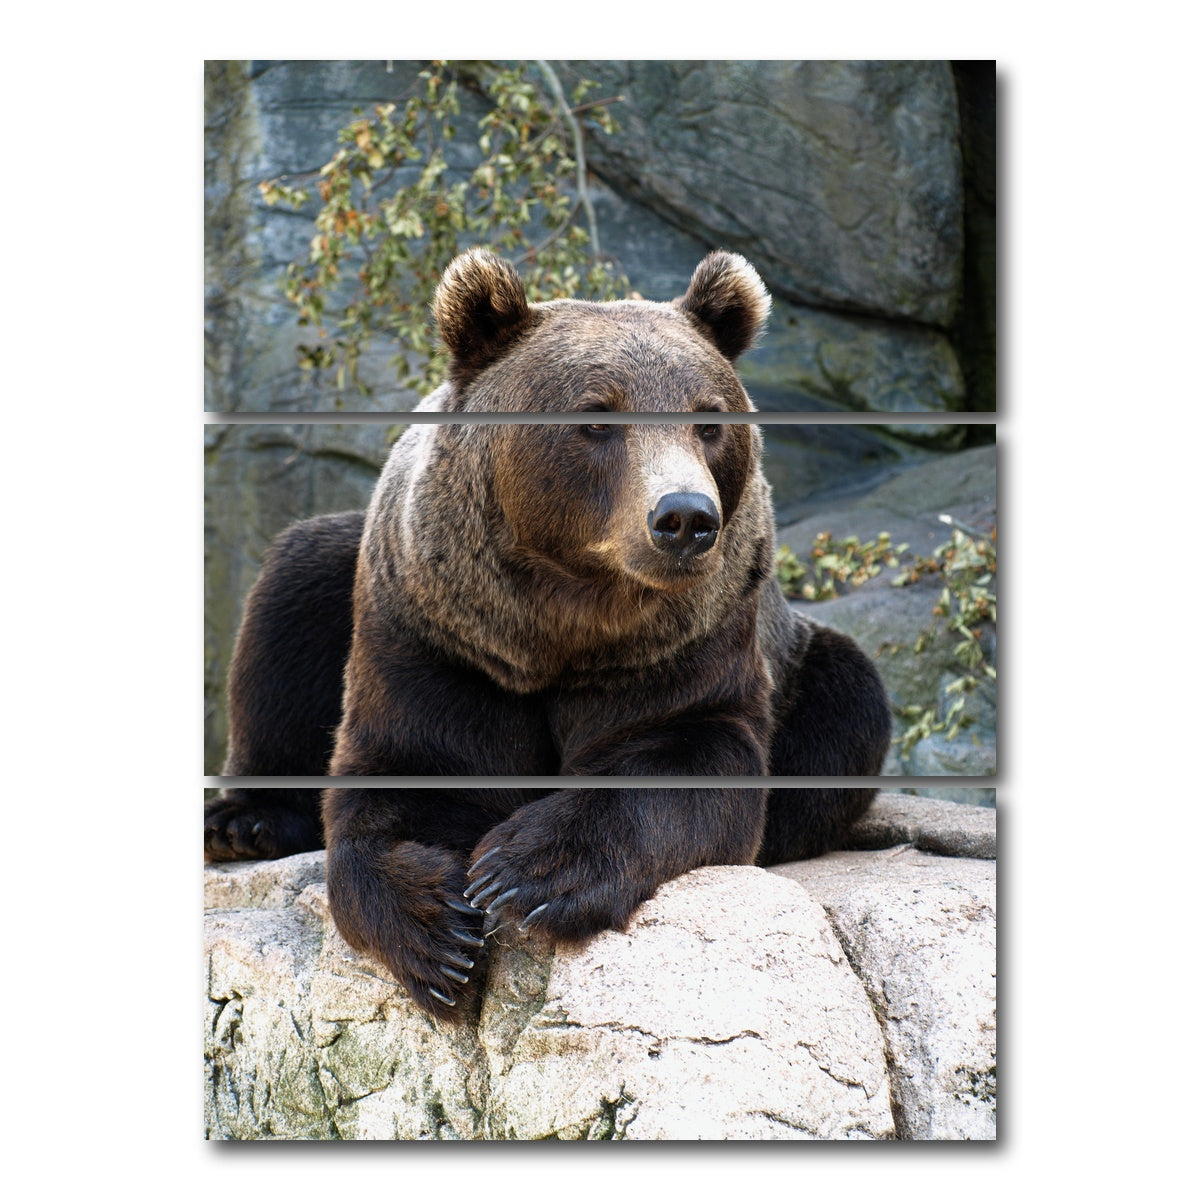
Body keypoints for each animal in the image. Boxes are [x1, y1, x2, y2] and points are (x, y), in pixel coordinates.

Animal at [204, 248, 892, 1021]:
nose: (685, 517)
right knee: (293, 587)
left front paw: (526, 872)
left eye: (709, 421)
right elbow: (401, 776)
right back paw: (243, 821)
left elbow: (689, 757)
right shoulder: (438, 637)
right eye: (596, 418)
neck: (560, 623)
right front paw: (437, 932)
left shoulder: (684, 645)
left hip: (803, 662)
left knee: (849, 700)